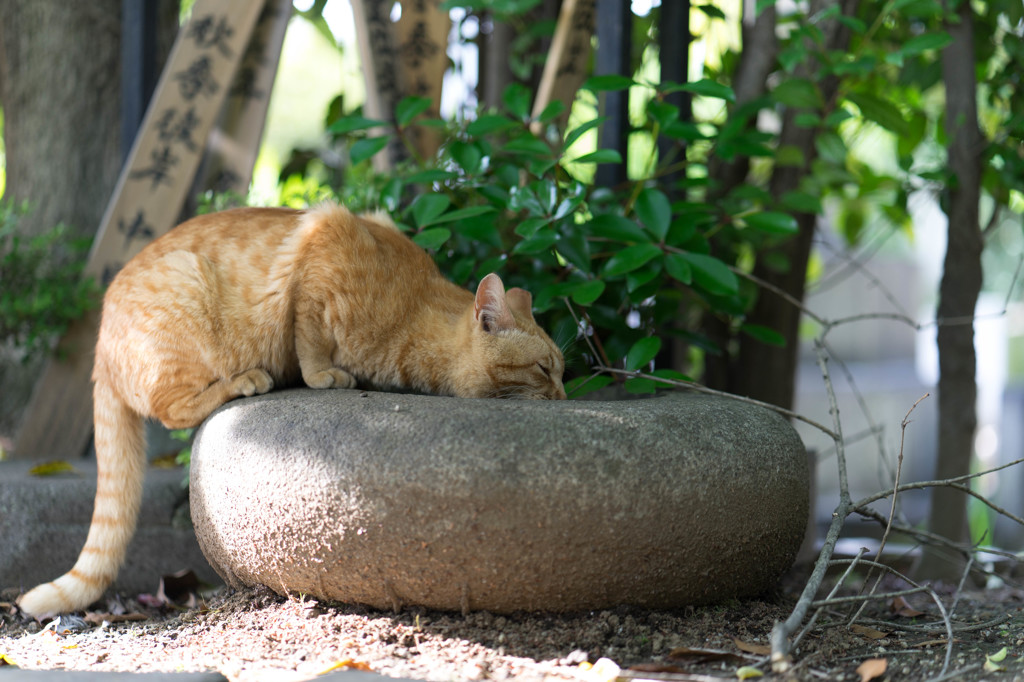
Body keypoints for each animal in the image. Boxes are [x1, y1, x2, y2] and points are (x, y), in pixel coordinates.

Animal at [16, 201, 565, 614]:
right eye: (544, 369)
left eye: (562, 370)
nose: (563, 396)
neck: (415, 310)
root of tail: (100, 345)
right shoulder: (322, 247)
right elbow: (310, 336)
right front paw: (323, 374)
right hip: (187, 294)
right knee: (176, 408)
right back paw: (245, 381)